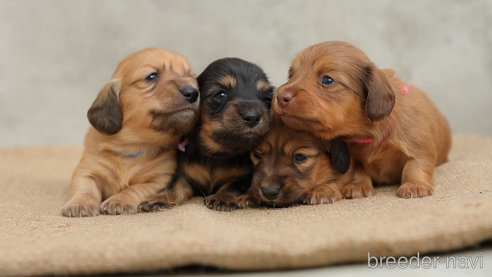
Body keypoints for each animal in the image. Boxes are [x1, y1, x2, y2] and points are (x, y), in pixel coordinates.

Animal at [60, 47, 199, 216]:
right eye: (151, 76)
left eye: (189, 76)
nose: (193, 93)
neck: (133, 146)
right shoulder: (85, 170)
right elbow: (84, 187)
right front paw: (80, 204)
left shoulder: (160, 180)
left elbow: (136, 188)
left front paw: (119, 200)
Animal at [138, 57, 274, 210]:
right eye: (221, 94)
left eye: (267, 99)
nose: (252, 117)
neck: (217, 153)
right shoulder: (185, 176)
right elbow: (174, 188)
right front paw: (158, 199)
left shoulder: (244, 178)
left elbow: (232, 186)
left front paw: (221, 198)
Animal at [274, 41, 452, 197]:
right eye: (291, 74)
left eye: (327, 80)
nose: (280, 96)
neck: (369, 134)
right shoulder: (353, 158)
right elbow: (359, 171)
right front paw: (358, 185)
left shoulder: (419, 147)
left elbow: (414, 166)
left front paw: (414, 185)